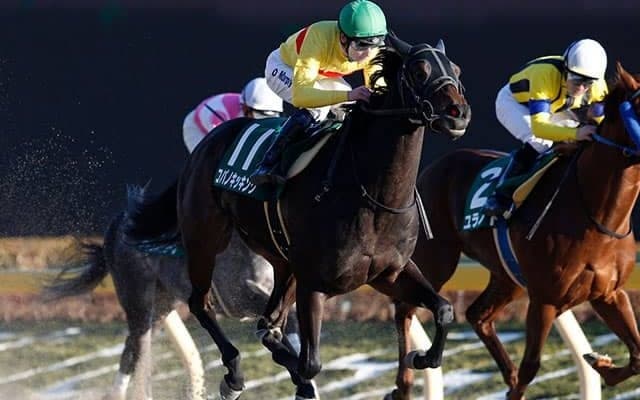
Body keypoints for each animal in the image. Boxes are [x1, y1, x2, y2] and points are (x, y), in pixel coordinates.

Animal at [43, 184, 300, 400]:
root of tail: (116, 224)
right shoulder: (238, 295)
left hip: (161, 306)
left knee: (130, 352)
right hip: (138, 299)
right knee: (137, 352)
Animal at [123, 33, 471, 400]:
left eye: (456, 70)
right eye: (419, 71)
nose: (458, 114)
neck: (371, 193)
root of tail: (206, 146)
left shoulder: (390, 273)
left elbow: (443, 309)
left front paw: (420, 358)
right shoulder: (314, 284)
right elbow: (310, 363)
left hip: (281, 259)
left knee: (267, 321)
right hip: (205, 241)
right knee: (201, 304)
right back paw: (233, 376)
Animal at [389, 62, 640, 400]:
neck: (596, 215)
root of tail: (432, 168)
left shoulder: (608, 294)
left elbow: (637, 355)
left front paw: (600, 363)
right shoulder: (545, 300)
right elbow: (531, 366)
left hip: (508, 276)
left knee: (478, 315)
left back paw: (504, 374)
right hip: (436, 259)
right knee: (405, 307)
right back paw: (404, 382)